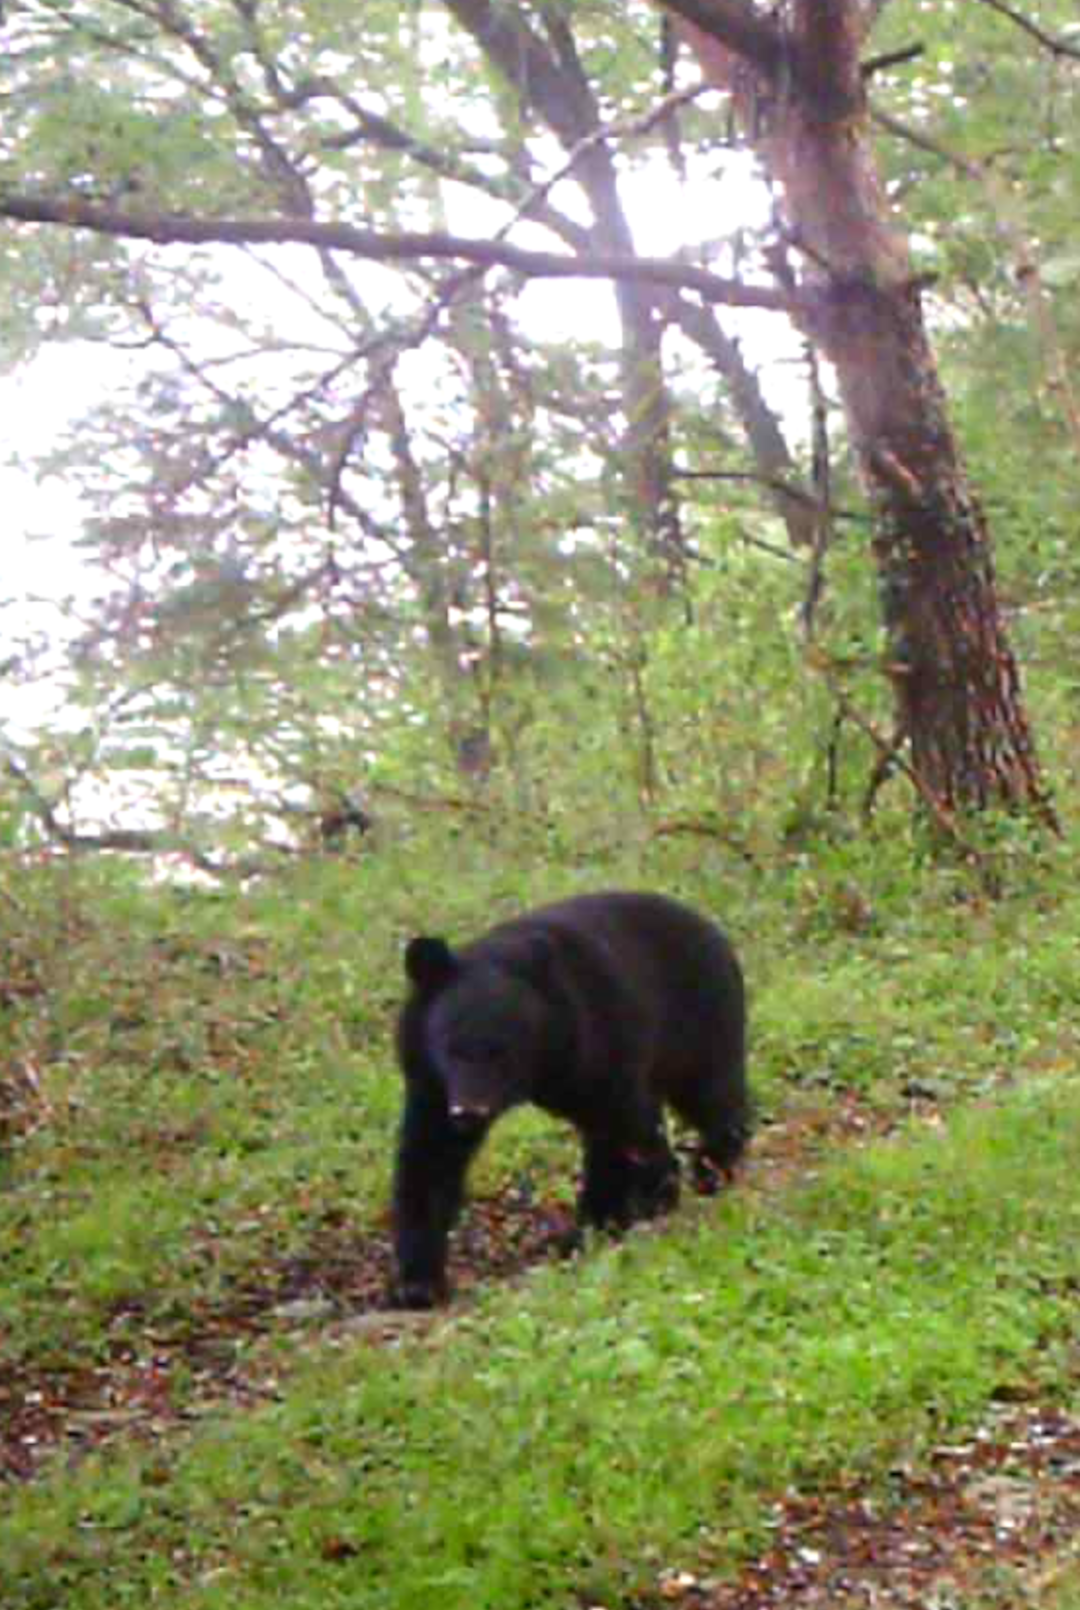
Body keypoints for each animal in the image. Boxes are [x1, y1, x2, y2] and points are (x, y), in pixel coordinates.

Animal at [389, 890, 750, 1309]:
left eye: (502, 1051)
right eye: (451, 1048)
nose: (469, 1112)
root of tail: (715, 932)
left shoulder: (595, 1040)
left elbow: (626, 1124)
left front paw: (642, 1203)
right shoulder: (430, 1079)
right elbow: (431, 1157)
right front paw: (417, 1284)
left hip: (698, 1021)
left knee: (709, 1093)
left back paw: (711, 1168)